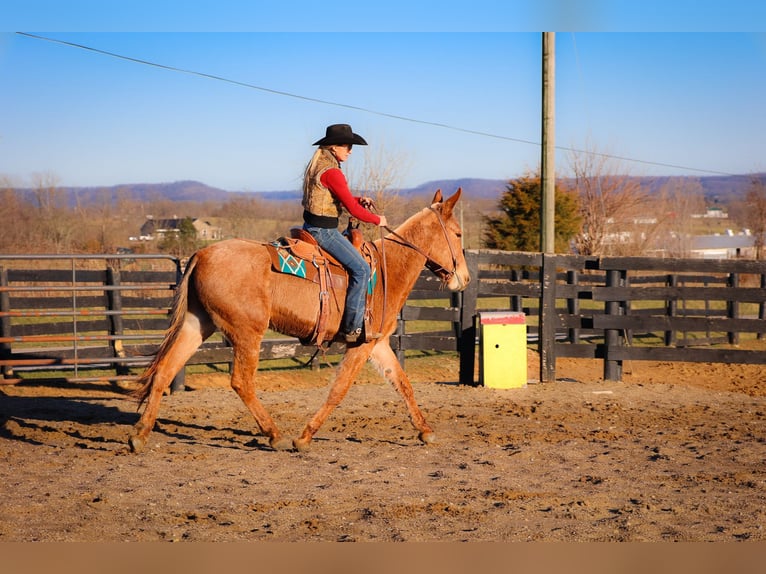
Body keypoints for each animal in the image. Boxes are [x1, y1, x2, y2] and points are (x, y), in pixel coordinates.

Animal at [129, 189, 472, 454]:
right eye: (457, 234)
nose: (465, 278)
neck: (389, 269)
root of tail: (201, 253)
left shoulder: (377, 344)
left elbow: (403, 384)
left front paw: (425, 431)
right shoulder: (360, 346)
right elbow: (338, 390)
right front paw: (304, 437)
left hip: (197, 325)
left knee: (165, 371)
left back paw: (140, 434)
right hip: (247, 333)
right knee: (241, 382)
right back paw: (275, 435)